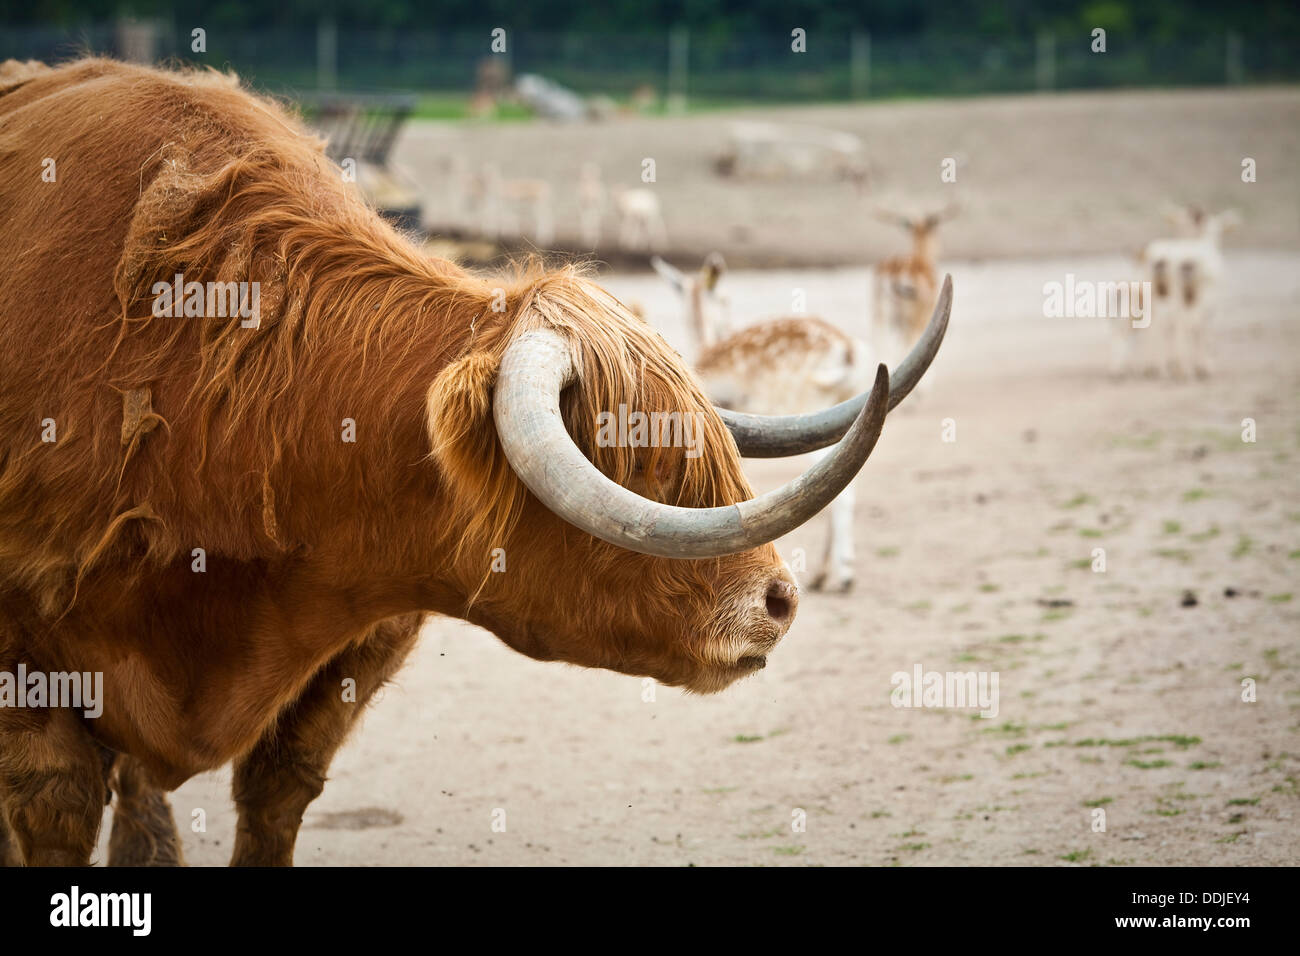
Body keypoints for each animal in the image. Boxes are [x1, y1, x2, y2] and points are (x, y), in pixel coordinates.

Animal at [2, 59, 956, 868]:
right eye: (637, 461)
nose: (779, 602)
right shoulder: (31, 679)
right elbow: (53, 809)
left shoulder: (355, 648)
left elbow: (274, 797)